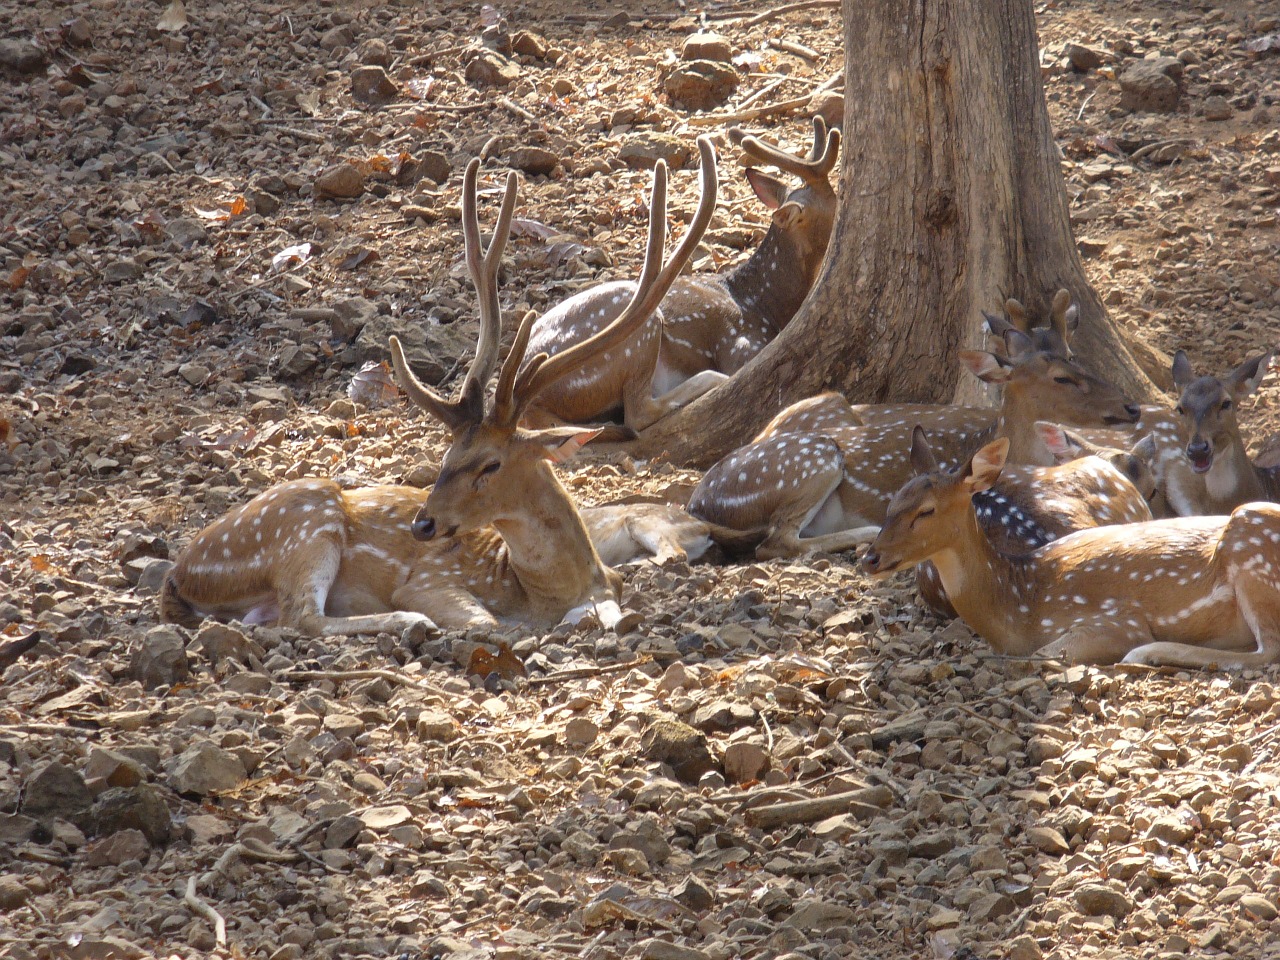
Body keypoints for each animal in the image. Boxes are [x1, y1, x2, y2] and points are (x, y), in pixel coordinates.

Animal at [162, 136, 721, 640]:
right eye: (446, 454)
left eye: (490, 464)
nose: (423, 526)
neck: (545, 590)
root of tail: (179, 572)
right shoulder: (428, 578)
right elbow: (485, 622)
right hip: (304, 522)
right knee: (300, 617)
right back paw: (409, 622)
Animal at [691, 327, 1141, 560]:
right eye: (1061, 378)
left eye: (1075, 359)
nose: (1132, 406)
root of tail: (698, 501)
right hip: (811, 460)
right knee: (775, 540)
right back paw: (864, 533)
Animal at [860, 427, 1280, 670]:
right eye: (892, 503)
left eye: (926, 510)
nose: (871, 557)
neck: (1017, 607)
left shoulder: (1114, 620)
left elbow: (1046, 654)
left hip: (1251, 545)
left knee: (1268, 651)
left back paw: (1148, 653)